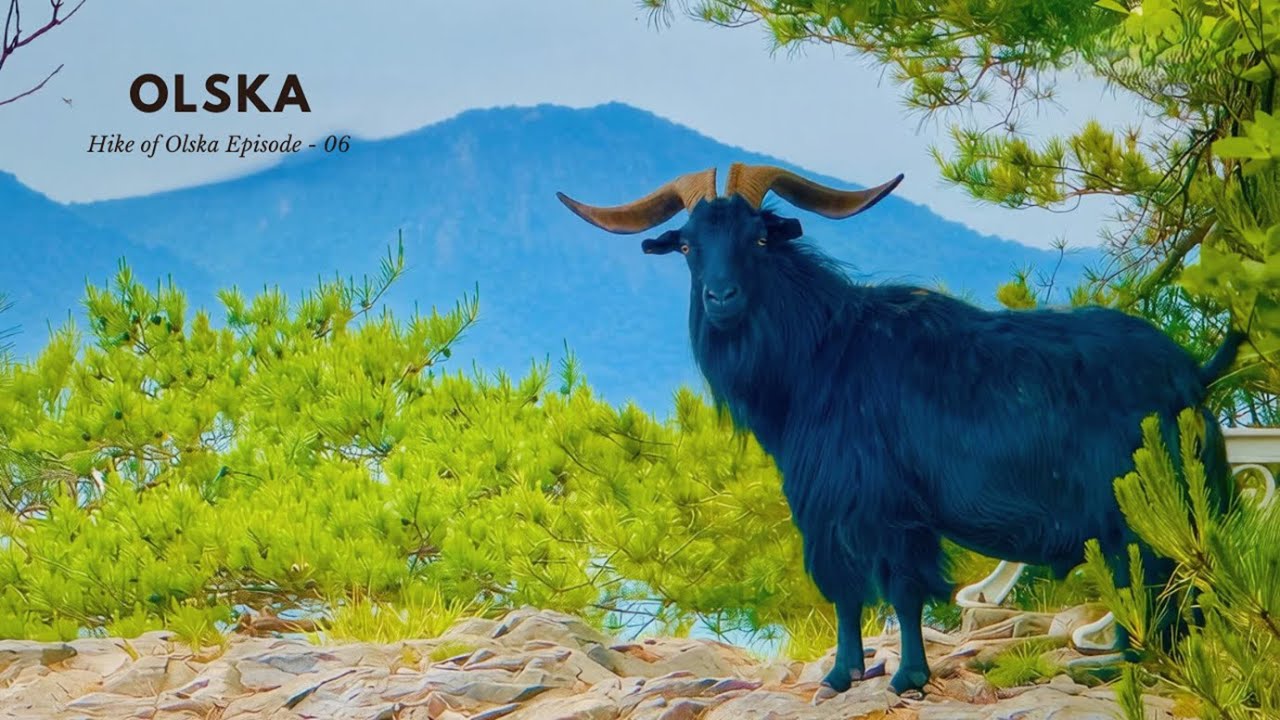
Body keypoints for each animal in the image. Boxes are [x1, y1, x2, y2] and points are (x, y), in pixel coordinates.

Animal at [557, 164, 1243, 697]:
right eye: (688, 246)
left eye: (757, 239)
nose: (722, 299)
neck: (823, 353)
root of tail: (1192, 372)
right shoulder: (840, 511)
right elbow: (850, 592)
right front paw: (845, 676)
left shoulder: (878, 506)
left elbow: (892, 589)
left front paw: (900, 678)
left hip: (1148, 511)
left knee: (1163, 597)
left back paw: (1118, 667)